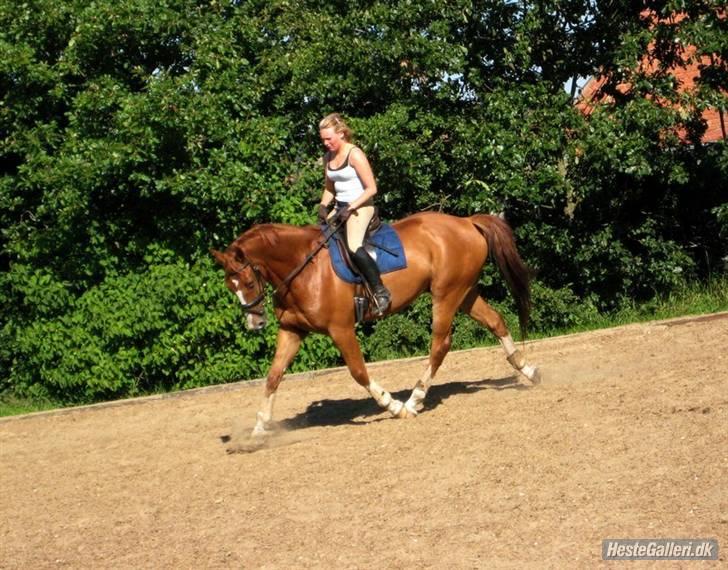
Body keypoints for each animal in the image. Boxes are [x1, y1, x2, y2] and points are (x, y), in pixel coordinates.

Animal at [210, 211, 540, 442]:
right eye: (229, 286)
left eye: (248, 282)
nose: (255, 322)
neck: (303, 269)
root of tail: (466, 222)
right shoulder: (292, 331)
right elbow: (273, 377)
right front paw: (258, 430)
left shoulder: (341, 329)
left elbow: (358, 372)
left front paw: (392, 406)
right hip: (465, 293)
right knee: (496, 322)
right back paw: (528, 370)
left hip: (446, 295)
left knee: (440, 344)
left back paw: (414, 399)